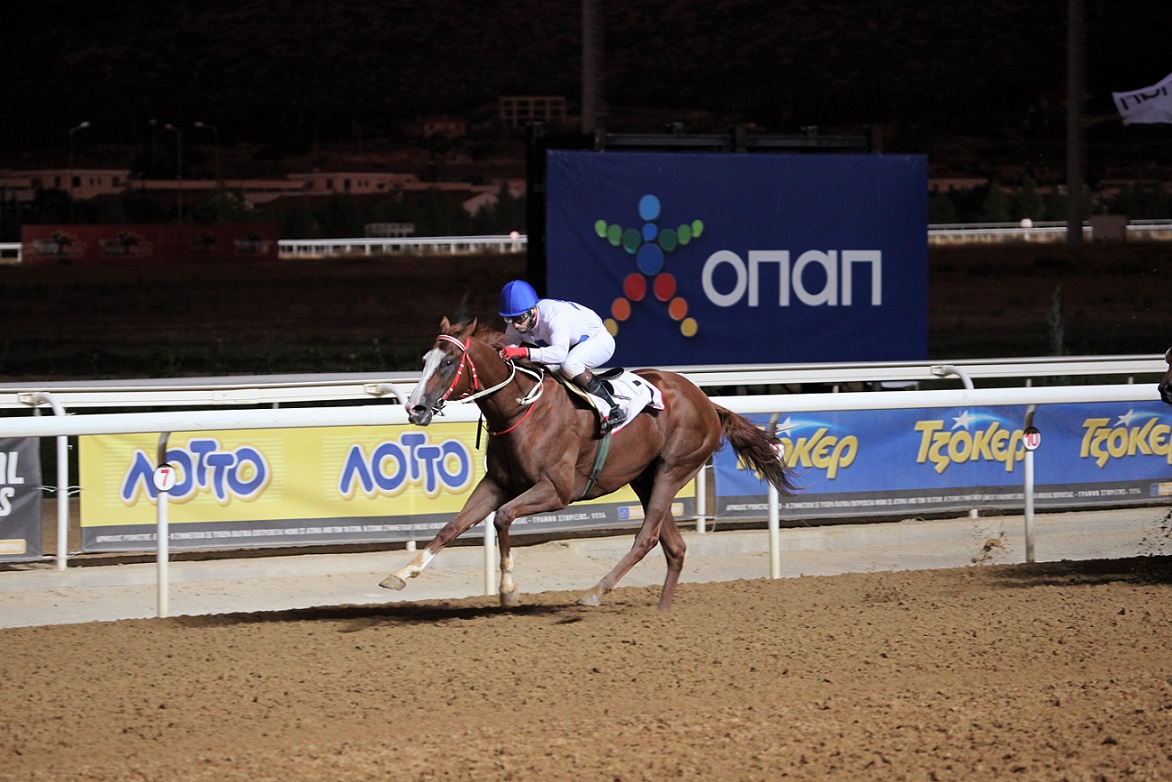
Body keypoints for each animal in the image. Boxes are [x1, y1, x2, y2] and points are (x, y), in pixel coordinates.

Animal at [380, 317, 798, 611]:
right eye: (425, 360)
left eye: (449, 362)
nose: (415, 408)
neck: (521, 408)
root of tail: (707, 402)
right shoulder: (497, 484)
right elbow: (453, 526)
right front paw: (400, 574)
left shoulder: (557, 490)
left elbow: (503, 518)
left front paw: (508, 589)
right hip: (645, 478)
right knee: (674, 545)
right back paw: (662, 612)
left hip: (673, 469)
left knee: (647, 537)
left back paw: (596, 591)